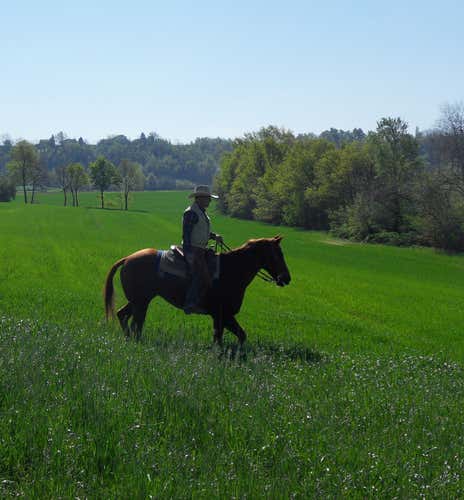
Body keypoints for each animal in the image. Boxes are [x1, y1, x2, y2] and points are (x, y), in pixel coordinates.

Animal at [104, 236, 291, 344]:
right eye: (278, 254)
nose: (286, 278)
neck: (231, 270)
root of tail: (127, 259)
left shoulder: (221, 317)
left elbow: (236, 336)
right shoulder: (222, 315)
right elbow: (226, 338)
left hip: (138, 301)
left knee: (123, 315)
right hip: (141, 303)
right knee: (136, 324)